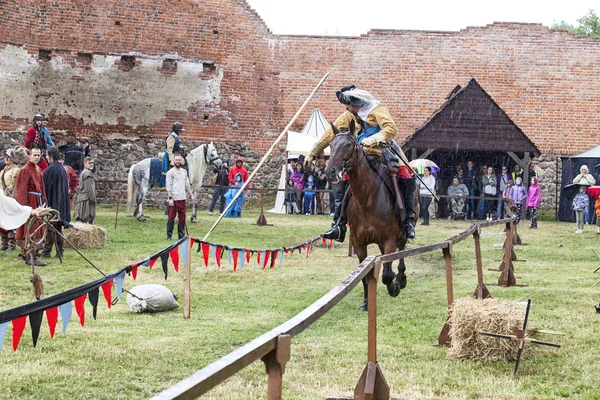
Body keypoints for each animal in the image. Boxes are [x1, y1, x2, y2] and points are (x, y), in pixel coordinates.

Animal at [326, 123, 410, 310]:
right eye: (331, 145)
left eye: (348, 145)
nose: (330, 172)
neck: (367, 199)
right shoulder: (359, 243)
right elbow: (365, 275)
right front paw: (366, 302)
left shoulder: (389, 239)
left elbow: (386, 274)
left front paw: (394, 286)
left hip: (400, 234)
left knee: (401, 250)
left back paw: (401, 278)